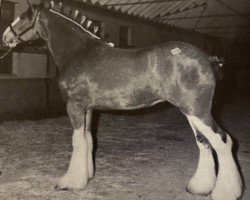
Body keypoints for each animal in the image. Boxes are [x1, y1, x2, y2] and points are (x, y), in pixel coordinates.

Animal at [1, 0, 243, 199]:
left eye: (22, 17)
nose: (5, 37)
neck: (78, 51)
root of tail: (208, 58)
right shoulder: (89, 109)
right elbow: (88, 140)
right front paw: (87, 176)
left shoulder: (75, 107)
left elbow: (77, 142)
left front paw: (71, 182)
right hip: (190, 110)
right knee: (204, 141)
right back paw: (199, 187)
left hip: (197, 109)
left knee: (222, 140)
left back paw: (226, 192)